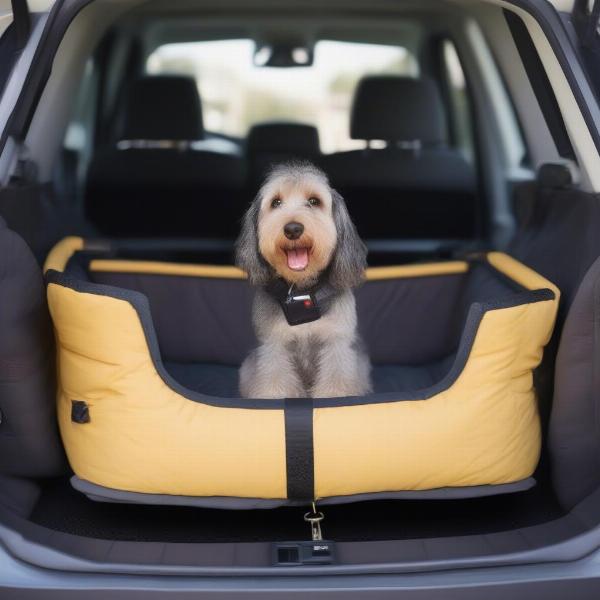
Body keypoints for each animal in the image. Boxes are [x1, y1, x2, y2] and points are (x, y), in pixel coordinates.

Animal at [234, 162, 370, 400]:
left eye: (314, 201)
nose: (293, 229)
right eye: (276, 202)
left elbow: (336, 384)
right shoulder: (274, 347)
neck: (301, 290)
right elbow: (275, 384)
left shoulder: (336, 345)